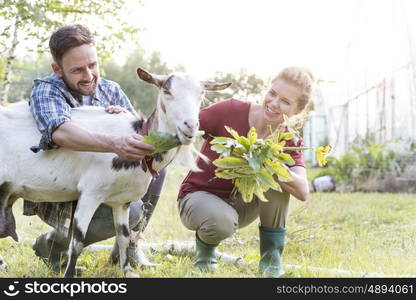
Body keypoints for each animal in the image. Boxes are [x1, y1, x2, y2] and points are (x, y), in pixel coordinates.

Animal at [0, 67, 231, 276]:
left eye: (201, 94)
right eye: (167, 91)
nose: (190, 126)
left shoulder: (123, 201)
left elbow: (123, 237)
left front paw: (127, 271)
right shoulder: (90, 194)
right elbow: (77, 242)